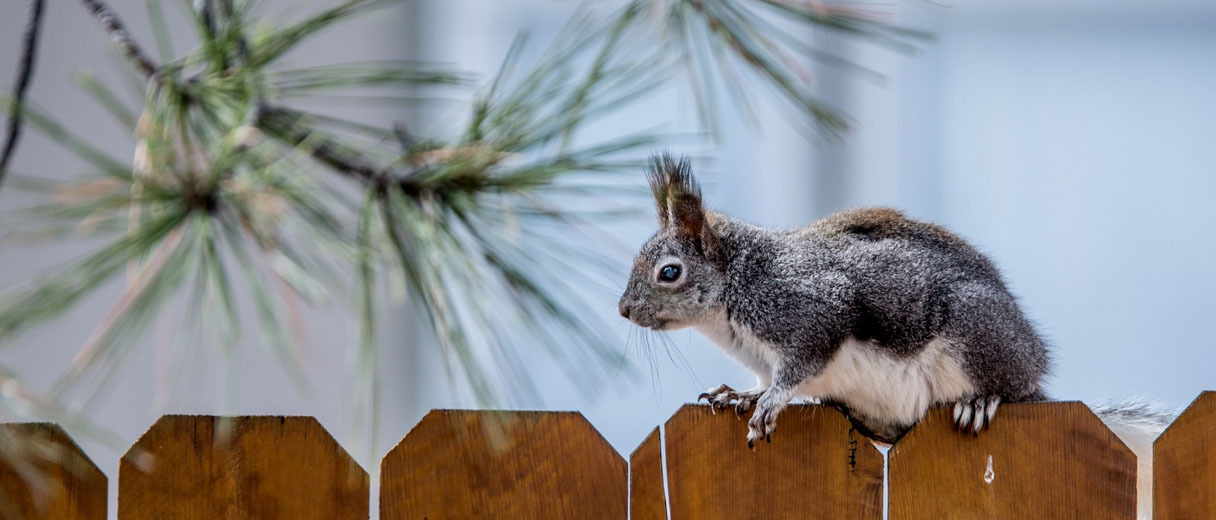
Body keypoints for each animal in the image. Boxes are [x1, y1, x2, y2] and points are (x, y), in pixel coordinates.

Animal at [622, 155, 1172, 520]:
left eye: (669, 272)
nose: (624, 310)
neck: (738, 285)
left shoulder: (810, 312)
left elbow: (799, 368)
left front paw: (770, 403)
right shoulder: (762, 354)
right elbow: (763, 379)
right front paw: (741, 393)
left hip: (976, 333)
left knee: (1006, 388)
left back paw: (982, 400)